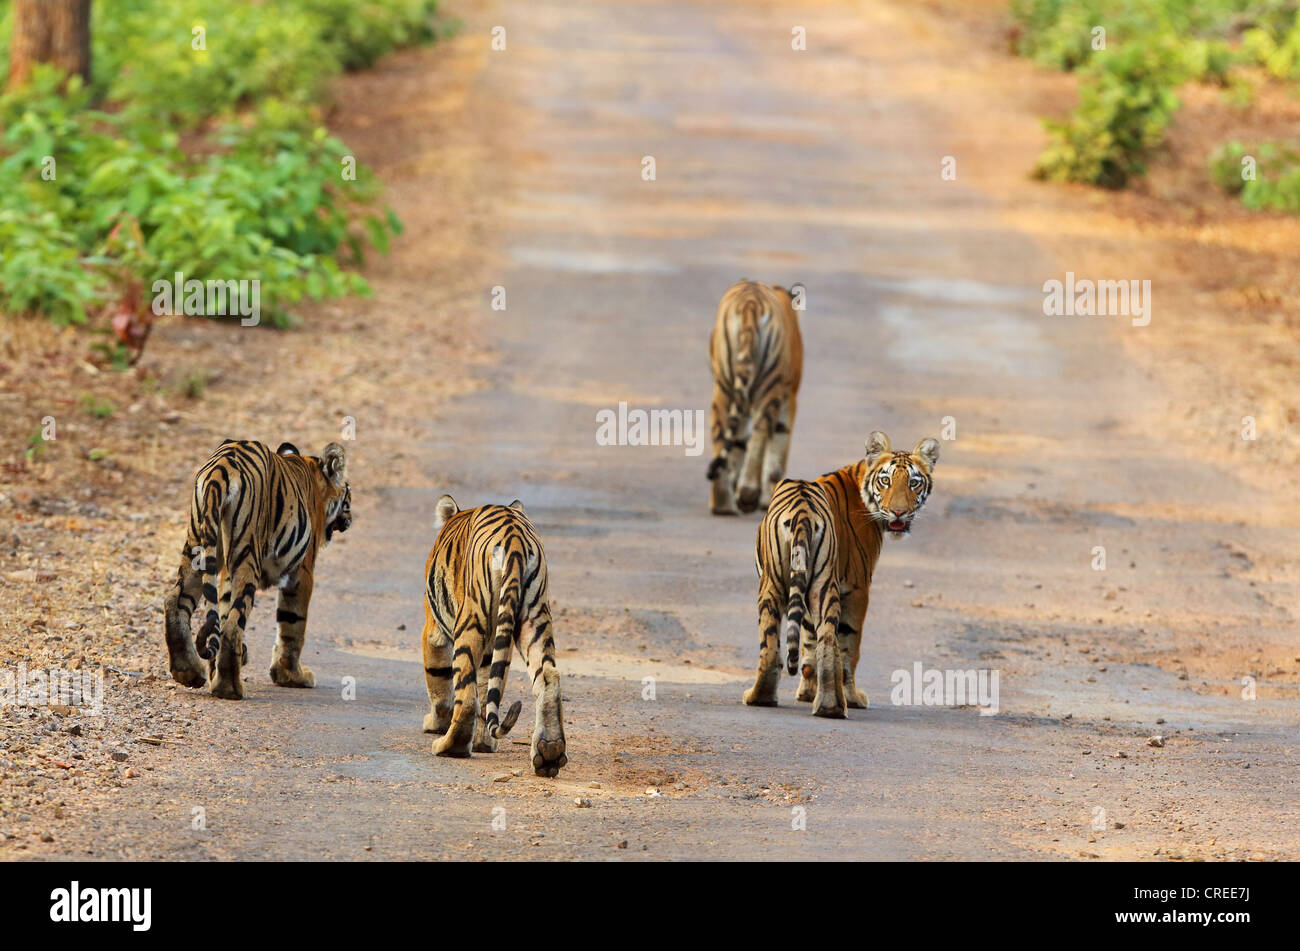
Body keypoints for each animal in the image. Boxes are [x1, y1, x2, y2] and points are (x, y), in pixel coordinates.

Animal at [162, 439, 356, 696]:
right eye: (348, 495)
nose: (351, 518)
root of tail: (220, 468)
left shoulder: (227, 570)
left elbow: (224, 607)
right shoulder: (302, 572)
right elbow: (293, 626)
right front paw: (292, 675)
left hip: (197, 547)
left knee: (175, 601)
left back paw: (189, 672)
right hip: (247, 553)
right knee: (233, 625)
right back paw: (230, 688)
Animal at [423, 493, 566, 774]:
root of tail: (515, 540)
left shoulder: (433, 629)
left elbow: (440, 683)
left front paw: (435, 724)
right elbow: (487, 683)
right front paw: (484, 744)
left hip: (470, 618)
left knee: (466, 694)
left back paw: (450, 747)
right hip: (534, 615)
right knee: (548, 677)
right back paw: (549, 752)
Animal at [712, 278, 800, 517]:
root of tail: (751, 303)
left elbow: (738, 443)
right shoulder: (789, 396)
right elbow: (779, 440)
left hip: (724, 387)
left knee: (723, 434)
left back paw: (722, 502)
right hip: (768, 387)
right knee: (760, 432)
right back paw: (746, 495)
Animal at [748, 428, 941, 711]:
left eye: (913, 483)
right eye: (886, 481)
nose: (898, 512)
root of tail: (802, 509)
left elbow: (808, 640)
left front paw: (807, 692)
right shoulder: (857, 587)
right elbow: (849, 645)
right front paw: (852, 697)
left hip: (773, 584)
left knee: (771, 641)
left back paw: (760, 697)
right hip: (825, 585)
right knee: (832, 640)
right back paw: (834, 705)